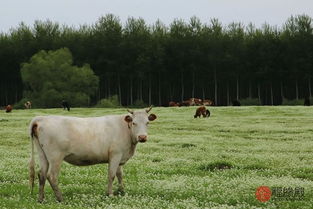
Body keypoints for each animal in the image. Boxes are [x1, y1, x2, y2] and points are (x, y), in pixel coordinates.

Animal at [28, 107, 156, 202]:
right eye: (134, 123)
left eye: (147, 122)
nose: (142, 137)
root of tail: (41, 118)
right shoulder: (115, 154)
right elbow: (112, 175)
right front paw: (110, 194)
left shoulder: (120, 156)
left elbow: (120, 174)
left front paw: (122, 191)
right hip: (55, 157)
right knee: (51, 176)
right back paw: (60, 198)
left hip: (42, 154)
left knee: (42, 174)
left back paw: (41, 199)